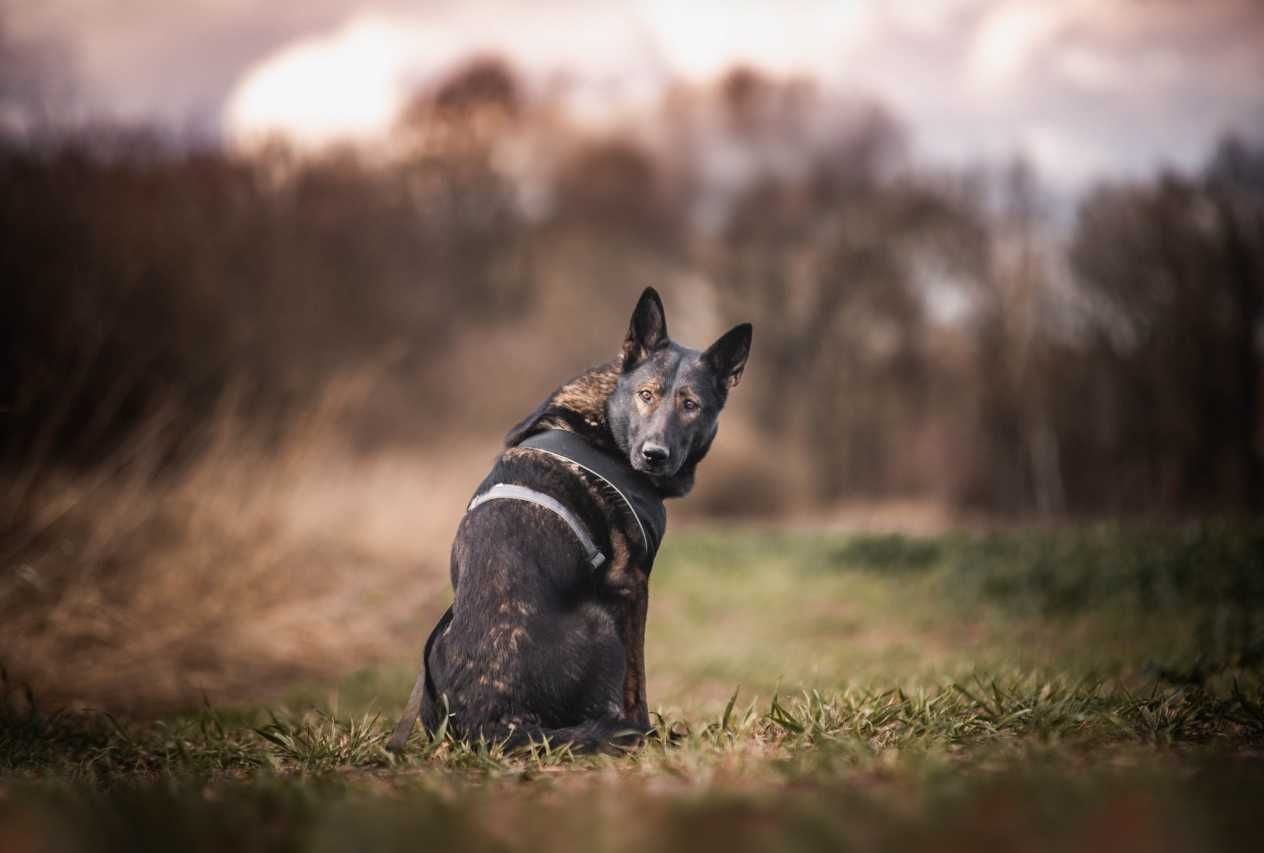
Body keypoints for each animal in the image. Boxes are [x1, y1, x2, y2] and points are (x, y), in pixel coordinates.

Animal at [386, 288, 748, 753]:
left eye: (691, 405)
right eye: (646, 395)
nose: (654, 454)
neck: (604, 422)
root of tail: (491, 723)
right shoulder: (631, 586)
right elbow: (637, 681)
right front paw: (644, 728)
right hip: (600, 624)